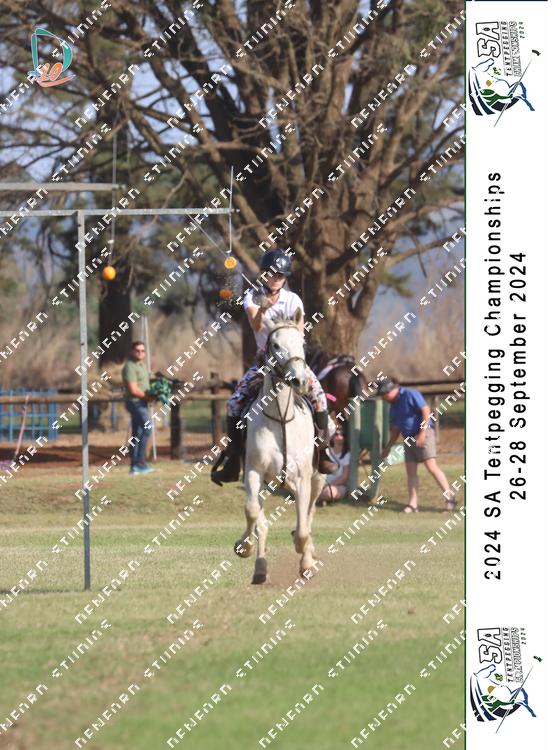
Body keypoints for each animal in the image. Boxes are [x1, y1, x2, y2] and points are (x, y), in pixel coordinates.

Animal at [233, 309, 326, 584]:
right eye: (275, 345)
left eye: (302, 344)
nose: (299, 381)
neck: (281, 418)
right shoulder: (254, 473)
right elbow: (253, 512)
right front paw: (246, 548)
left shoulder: (303, 479)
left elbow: (304, 527)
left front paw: (305, 559)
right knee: (261, 520)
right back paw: (259, 567)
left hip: (319, 479)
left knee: (309, 513)